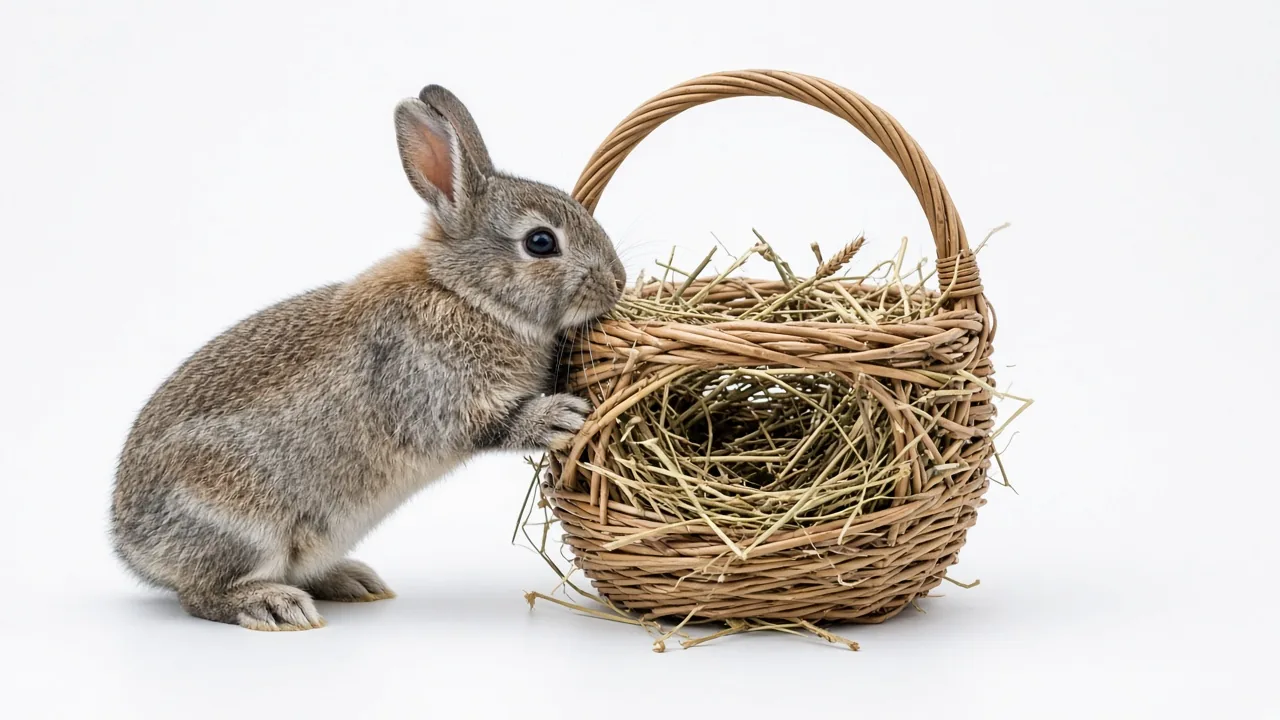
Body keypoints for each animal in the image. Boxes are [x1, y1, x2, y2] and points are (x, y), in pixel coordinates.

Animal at [109, 84, 625, 631]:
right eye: (541, 242)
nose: (617, 281)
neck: (468, 294)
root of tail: (129, 548)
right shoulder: (434, 394)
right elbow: (492, 423)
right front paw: (562, 416)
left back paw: (354, 581)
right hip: (242, 526)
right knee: (202, 595)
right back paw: (274, 605)